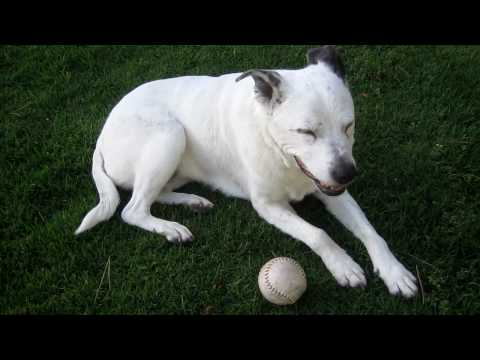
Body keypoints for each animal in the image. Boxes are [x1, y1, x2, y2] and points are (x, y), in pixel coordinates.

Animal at [75, 45, 416, 298]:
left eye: (349, 125)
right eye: (306, 132)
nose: (347, 174)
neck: (279, 150)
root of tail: (101, 138)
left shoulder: (331, 189)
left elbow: (370, 231)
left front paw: (394, 271)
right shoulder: (268, 206)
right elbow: (318, 234)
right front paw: (342, 264)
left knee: (154, 194)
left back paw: (192, 201)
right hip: (170, 134)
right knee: (132, 209)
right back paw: (171, 228)